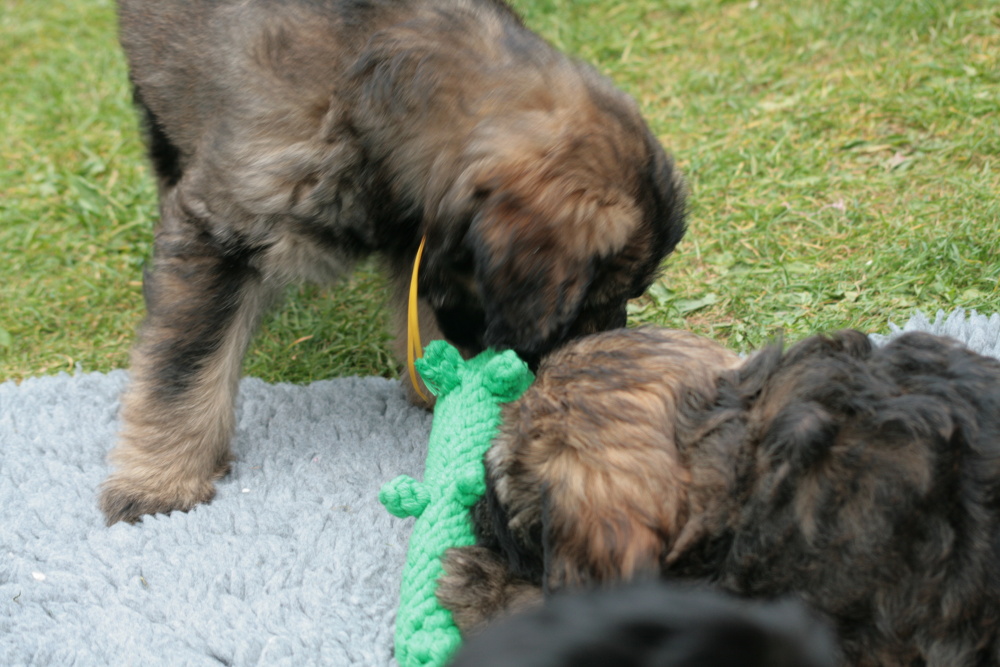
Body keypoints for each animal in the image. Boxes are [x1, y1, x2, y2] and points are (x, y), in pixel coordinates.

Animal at [101, 0, 684, 528]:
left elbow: (427, 319)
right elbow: (185, 365)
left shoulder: (422, 243)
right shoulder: (222, 235)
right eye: (589, 304)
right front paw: (159, 480)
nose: (599, 359)